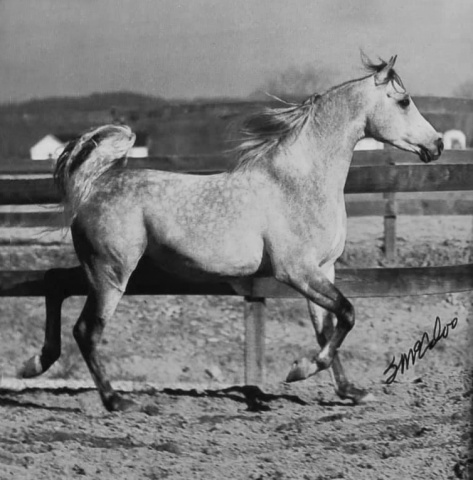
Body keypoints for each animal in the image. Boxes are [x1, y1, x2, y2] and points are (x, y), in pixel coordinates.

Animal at [19, 54, 442, 410]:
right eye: (404, 101)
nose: (437, 145)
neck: (300, 182)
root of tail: (92, 188)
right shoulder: (296, 271)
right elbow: (347, 315)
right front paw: (299, 370)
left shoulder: (324, 269)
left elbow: (329, 327)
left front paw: (349, 391)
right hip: (112, 274)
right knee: (86, 330)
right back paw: (115, 400)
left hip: (103, 270)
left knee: (54, 282)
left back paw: (35, 363)